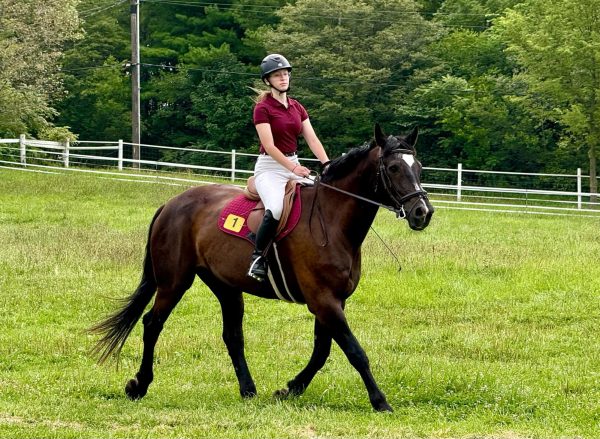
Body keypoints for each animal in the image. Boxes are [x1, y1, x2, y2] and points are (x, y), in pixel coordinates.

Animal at [91, 123, 434, 412]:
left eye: (418, 167)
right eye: (393, 168)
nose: (423, 212)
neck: (332, 219)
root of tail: (172, 203)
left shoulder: (333, 300)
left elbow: (322, 351)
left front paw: (290, 389)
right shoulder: (323, 300)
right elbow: (354, 351)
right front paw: (380, 401)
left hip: (225, 287)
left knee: (232, 336)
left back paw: (248, 389)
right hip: (174, 281)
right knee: (153, 323)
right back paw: (139, 385)